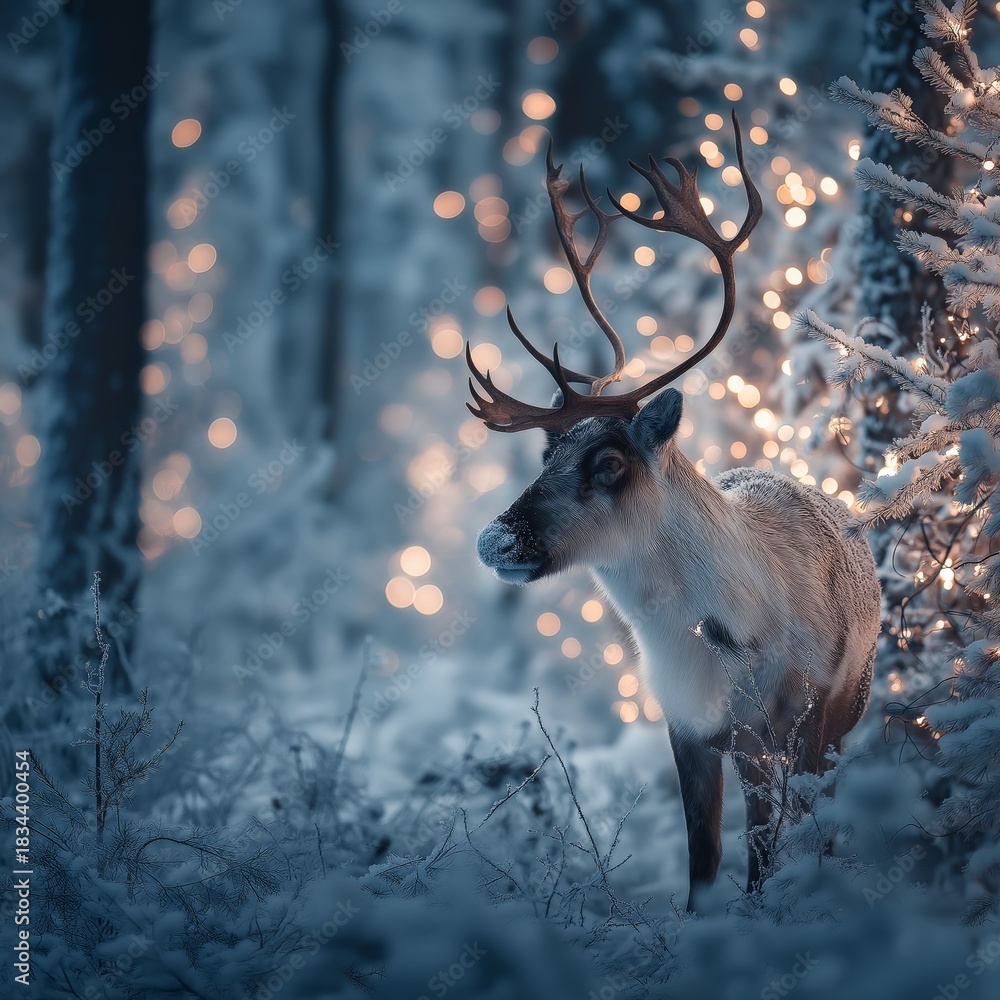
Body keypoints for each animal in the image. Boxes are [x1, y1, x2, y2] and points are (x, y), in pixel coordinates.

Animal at [466, 113, 882, 909]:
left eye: (609, 462)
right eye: (545, 454)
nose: (494, 539)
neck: (696, 632)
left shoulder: (772, 730)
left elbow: (759, 864)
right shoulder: (686, 729)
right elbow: (703, 867)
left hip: (844, 709)